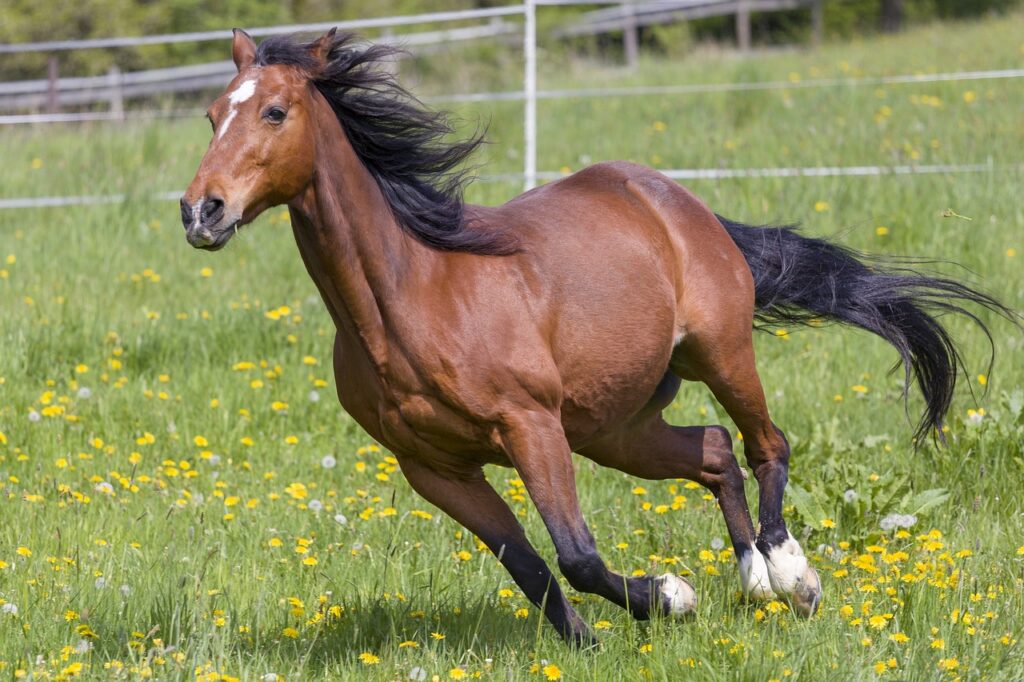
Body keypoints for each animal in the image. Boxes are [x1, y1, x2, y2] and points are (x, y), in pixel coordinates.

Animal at [180, 29, 1011, 644]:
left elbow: (575, 555)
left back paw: (790, 578)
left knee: (765, 445)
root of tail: (675, 199)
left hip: (716, 354)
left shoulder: (530, 427)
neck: (410, 298)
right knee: (715, 453)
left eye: (274, 112)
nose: (201, 211)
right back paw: (750, 584)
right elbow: (528, 566)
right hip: (615, 427)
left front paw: (671, 595)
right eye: (214, 114)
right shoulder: (434, 467)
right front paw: (589, 639)